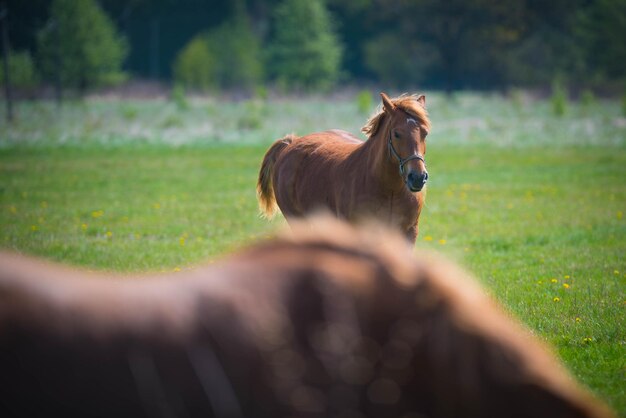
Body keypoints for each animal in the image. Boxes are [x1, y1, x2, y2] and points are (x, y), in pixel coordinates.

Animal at [255, 91, 428, 242]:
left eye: (425, 133)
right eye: (397, 134)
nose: (418, 177)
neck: (389, 189)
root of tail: (291, 142)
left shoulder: (408, 232)